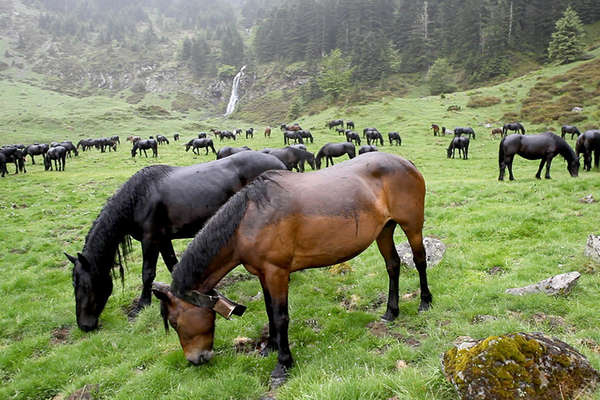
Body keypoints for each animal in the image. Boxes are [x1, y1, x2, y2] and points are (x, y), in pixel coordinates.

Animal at [65, 151, 286, 332]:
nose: (84, 326)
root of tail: (280, 164)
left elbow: (147, 273)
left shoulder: (150, 240)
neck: (139, 197)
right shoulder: (163, 240)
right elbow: (173, 265)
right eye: (74, 284)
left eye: (84, 285)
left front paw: (141, 305)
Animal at [150, 152, 432, 386]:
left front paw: (282, 365)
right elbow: (268, 310)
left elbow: (280, 316)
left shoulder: (277, 272)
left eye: (174, 322)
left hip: (412, 225)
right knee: (393, 265)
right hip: (384, 230)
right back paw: (391, 311)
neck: (248, 220)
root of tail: (406, 162)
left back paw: (425, 302)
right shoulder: (263, 274)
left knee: (419, 260)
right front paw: (271, 346)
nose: (195, 359)